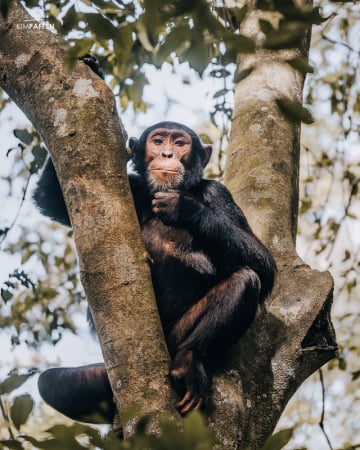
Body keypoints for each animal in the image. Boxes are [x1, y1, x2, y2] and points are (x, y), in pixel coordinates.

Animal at [33, 119, 276, 422]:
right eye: (158, 141)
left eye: (180, 143)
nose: (168, 154)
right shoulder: (132, 188)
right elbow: (50, 198)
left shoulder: (219, 195)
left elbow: (263, 264)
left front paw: (185, 208)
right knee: (49, 382)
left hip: (175, 339)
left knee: (245, 279)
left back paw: (188, 363)